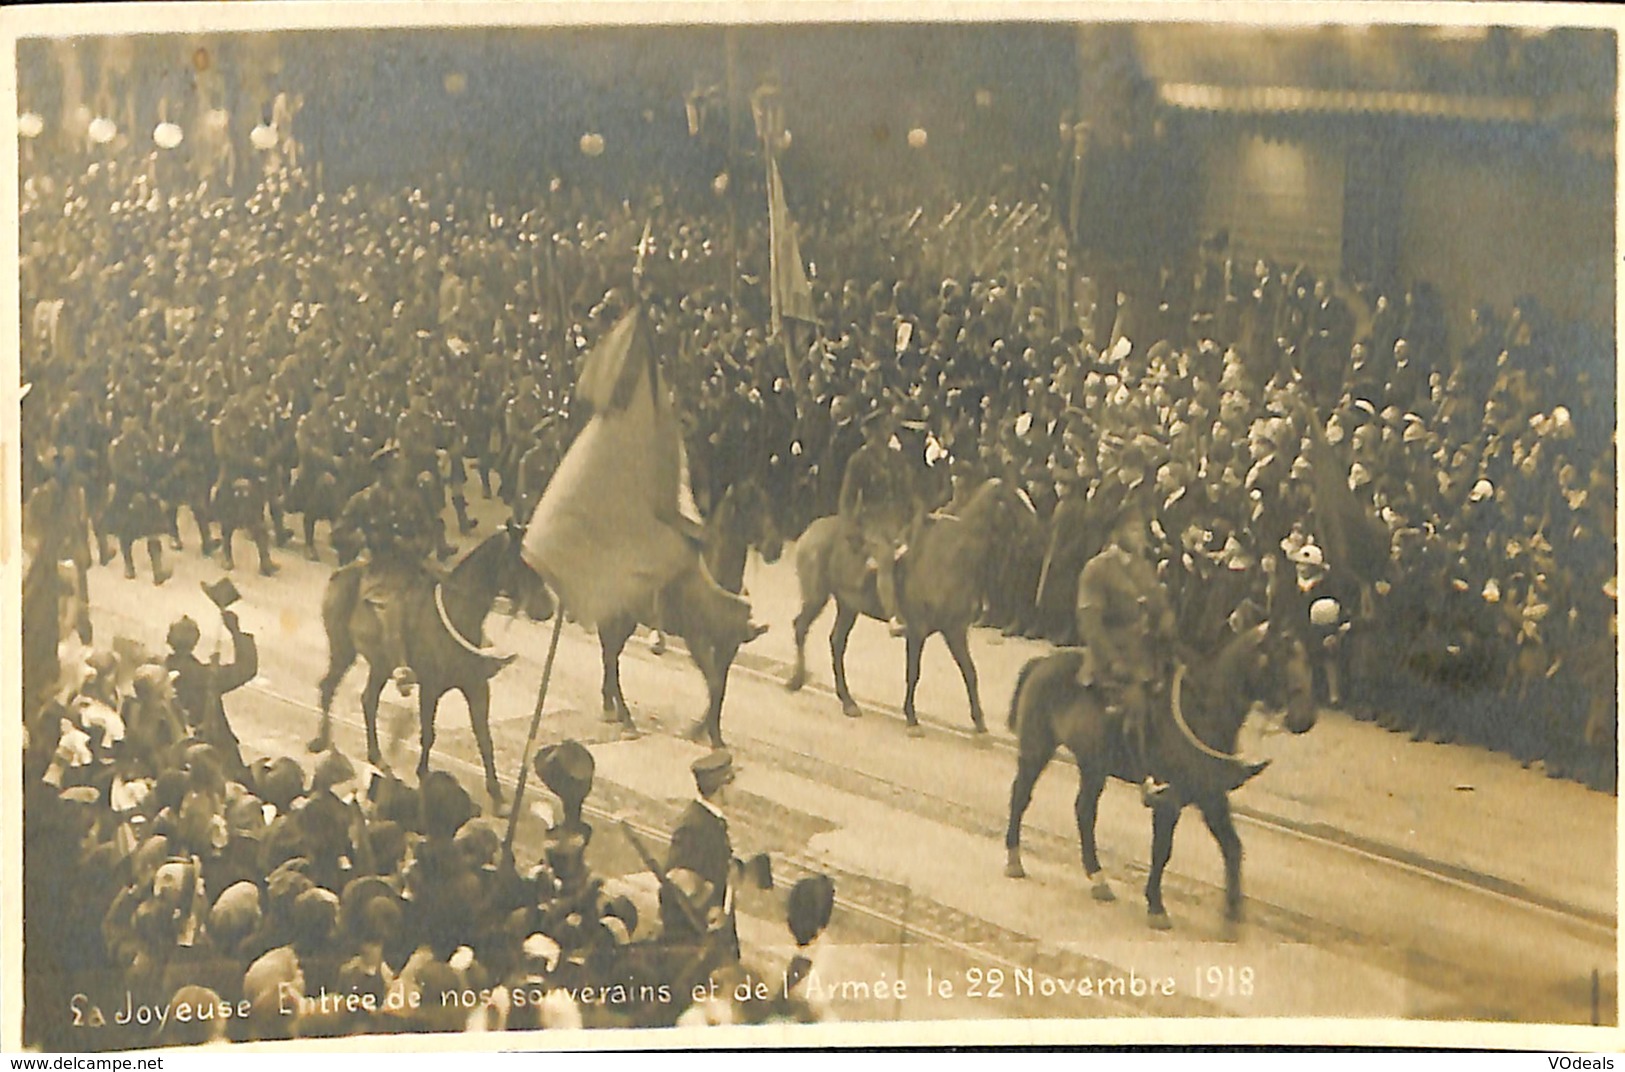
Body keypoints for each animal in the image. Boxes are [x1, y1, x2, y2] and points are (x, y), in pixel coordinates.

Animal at [307, 519, 555, 812]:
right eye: (522, 564)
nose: (548, 610)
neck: (459, 612)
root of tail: (340, 573)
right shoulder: (431, 687)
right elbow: (428, 733)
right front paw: (424, 775)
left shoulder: (476, 688)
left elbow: (485, 739)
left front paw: (496, 793)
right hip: (343, 651)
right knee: (329, 688)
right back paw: (323, 741)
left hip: (379, 664)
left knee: (367, 700)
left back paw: (373, 755)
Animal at [601, 480, 783, 743]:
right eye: (752, 506)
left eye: (769, 504)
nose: (775, 548)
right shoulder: (697, 641)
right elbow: (715, 684)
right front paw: (701, 733)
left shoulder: (728, 646)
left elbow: (720, 687)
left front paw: (710, 734)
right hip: (621, 618)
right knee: (610, 657)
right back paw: (625, 719)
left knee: (609, 654)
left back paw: (610, 707)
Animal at [783, 480, 1020, 737]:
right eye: (1015, 501)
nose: (1033, 529)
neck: (950, 557)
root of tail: (811, 530)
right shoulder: (917, 631)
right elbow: (913, 674)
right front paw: (912, 718)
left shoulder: (954, 630)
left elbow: (970, 672)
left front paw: (979, 721)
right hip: (816, 597)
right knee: (801, 627)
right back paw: (797, 679)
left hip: (848, 606)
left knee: (836, 643)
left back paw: (847, 701)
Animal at [1001, 620, 1319, 929]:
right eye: (1281, 655)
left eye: (1305, 658)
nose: (1305, 718)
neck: (1202, 709)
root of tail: (1042, 662)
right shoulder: (1170, 800)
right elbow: (1162, 850)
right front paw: (1156, 905)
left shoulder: (1211, 797)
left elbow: (1232, 846)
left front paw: (1232, 911)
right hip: (1036, 750)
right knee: (1021, 797)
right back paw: (1015, 859)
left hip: (1093, 766)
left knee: (1084, 812)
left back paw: (1098, 878)